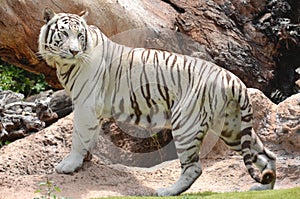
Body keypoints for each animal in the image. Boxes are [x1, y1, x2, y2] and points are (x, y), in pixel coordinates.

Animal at [38, 8, 278, 196]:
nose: (74, 51)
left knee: (194, 168)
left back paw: (167, 191)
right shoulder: (92, 109)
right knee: (268, 155)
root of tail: (233, 79)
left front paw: (68, 166)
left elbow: (78, 137)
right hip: (233, 127)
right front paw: (85, 161)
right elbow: (89, 136)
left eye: (80, 35)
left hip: (186, 124)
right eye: (64, 33)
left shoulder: (85, 105)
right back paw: (265, 186)